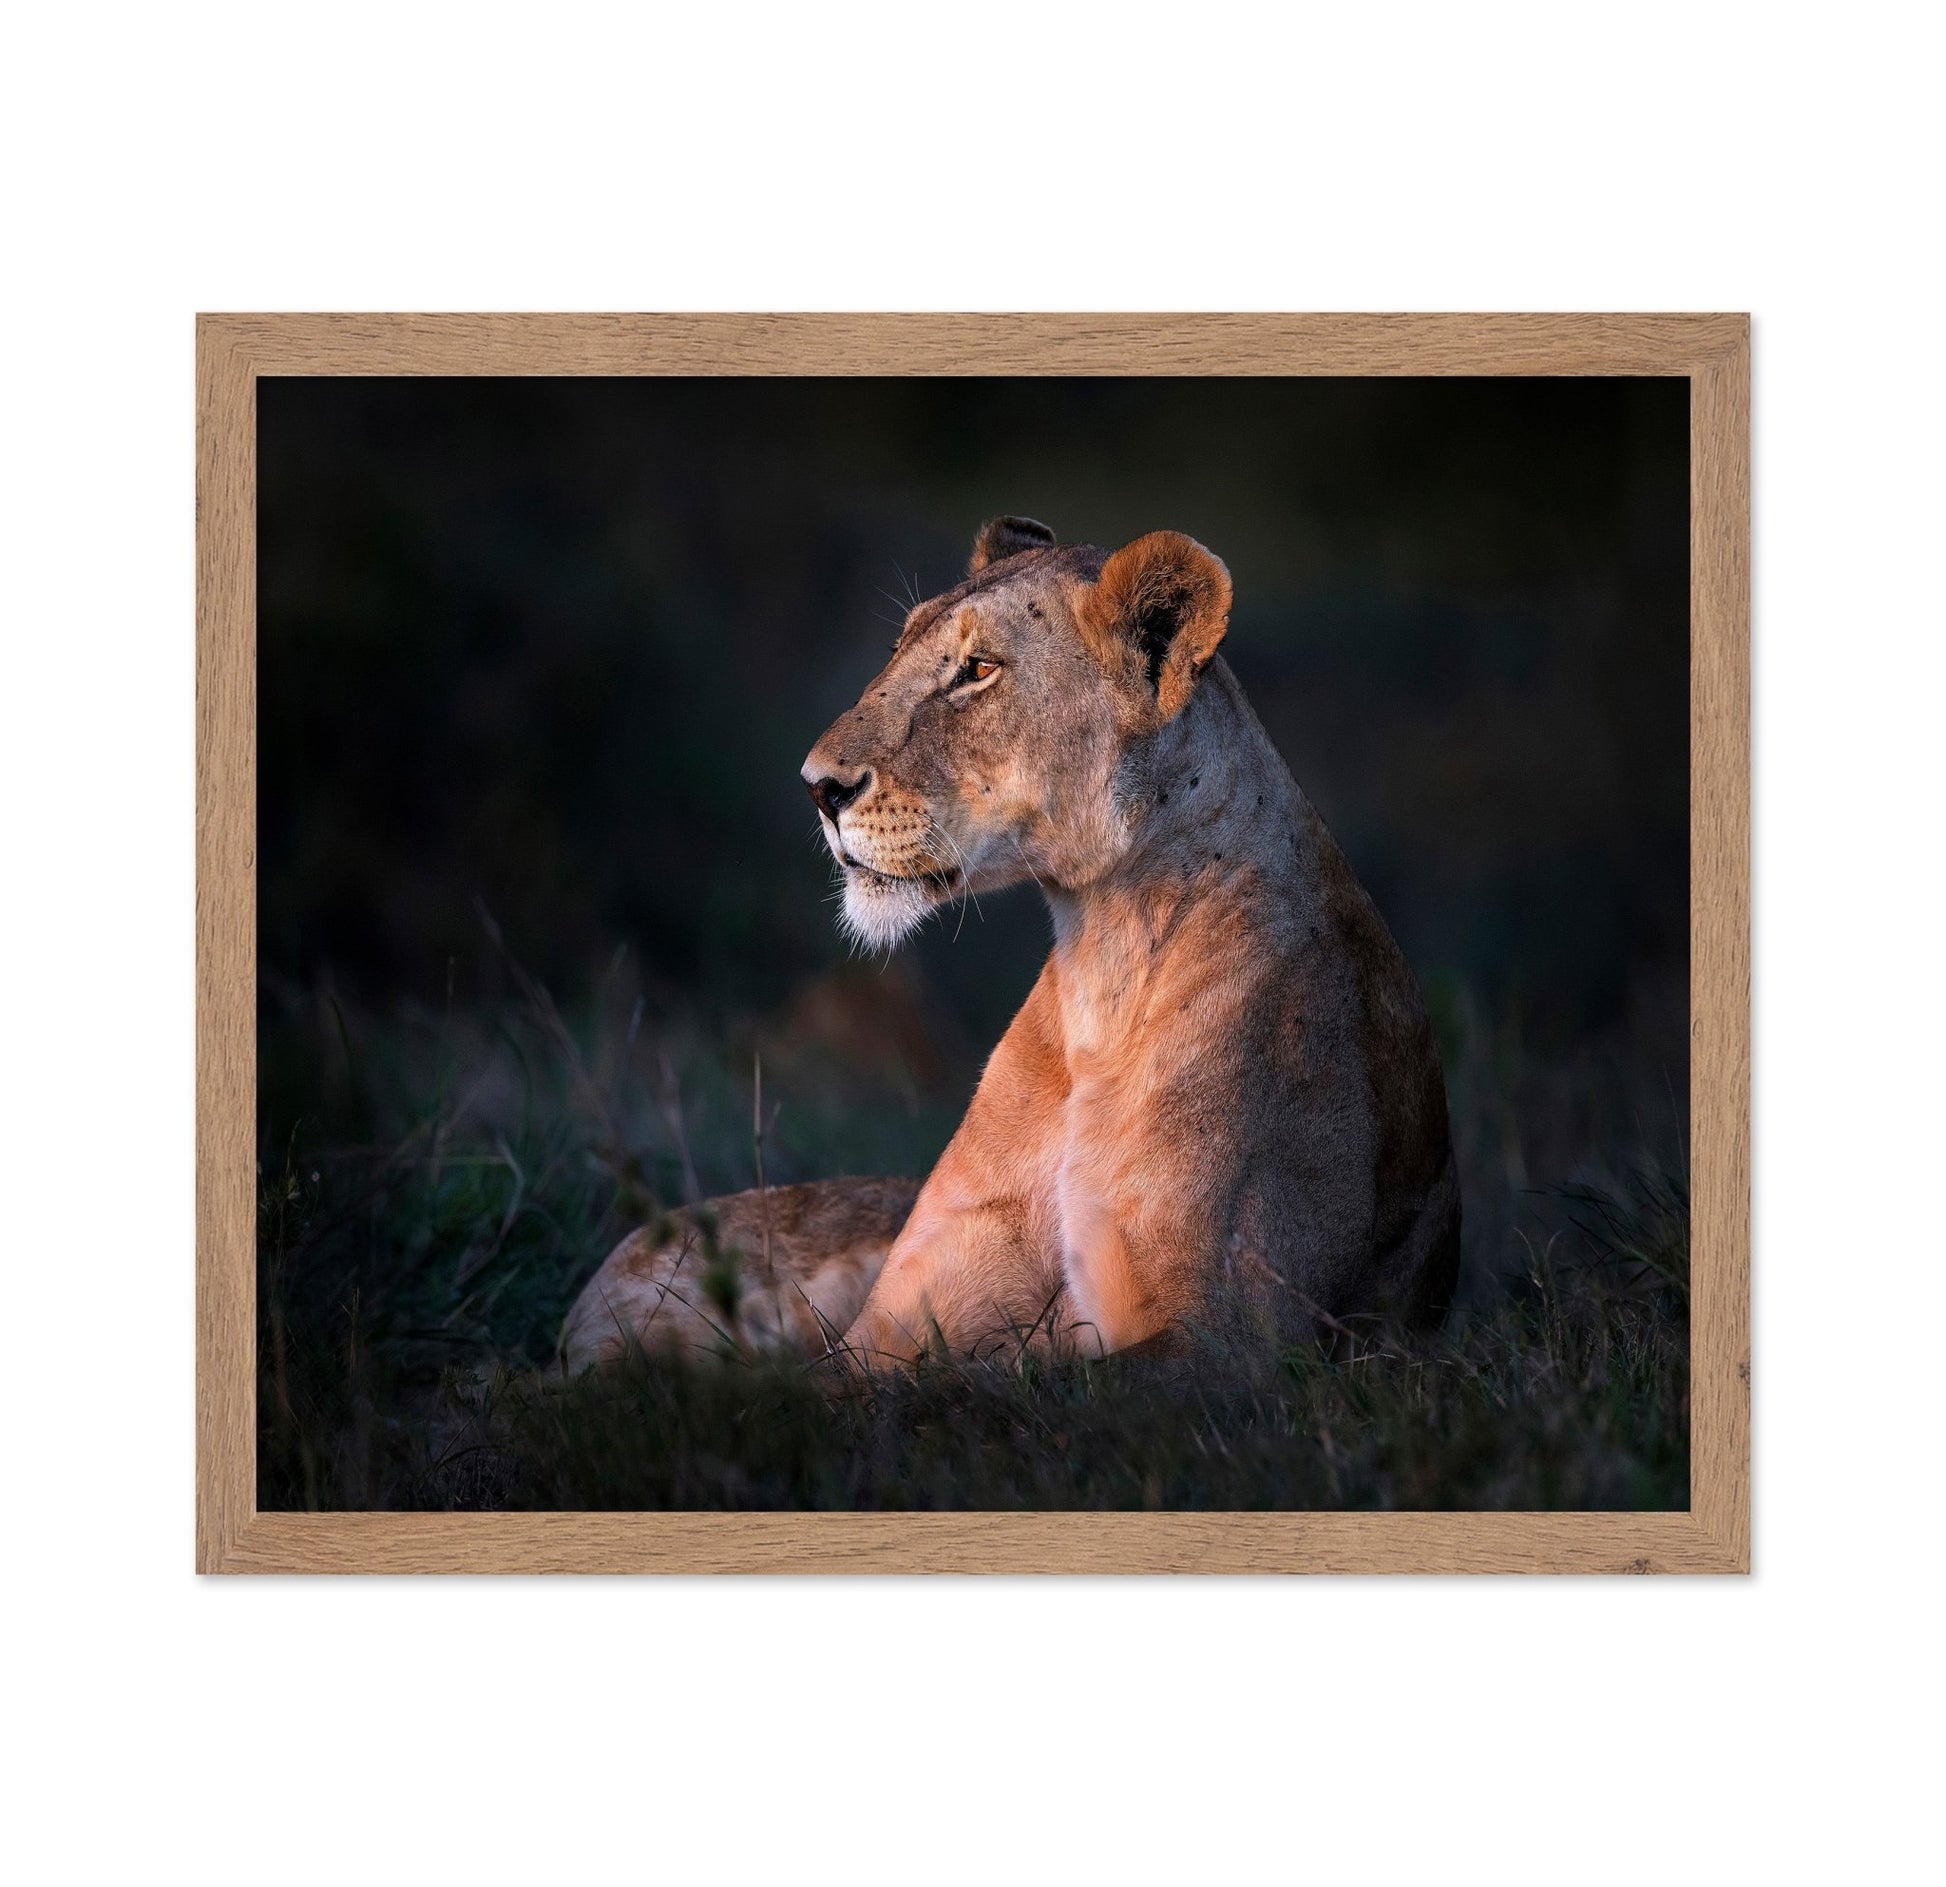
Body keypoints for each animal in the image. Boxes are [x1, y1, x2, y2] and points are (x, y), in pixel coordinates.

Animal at [559, 517, 1460, 1372]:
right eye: (898, 650)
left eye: (977, 670)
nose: (817, 787)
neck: (1103, 964)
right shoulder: (886, 1326)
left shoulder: (1233, 1339)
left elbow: (1024, 1383)